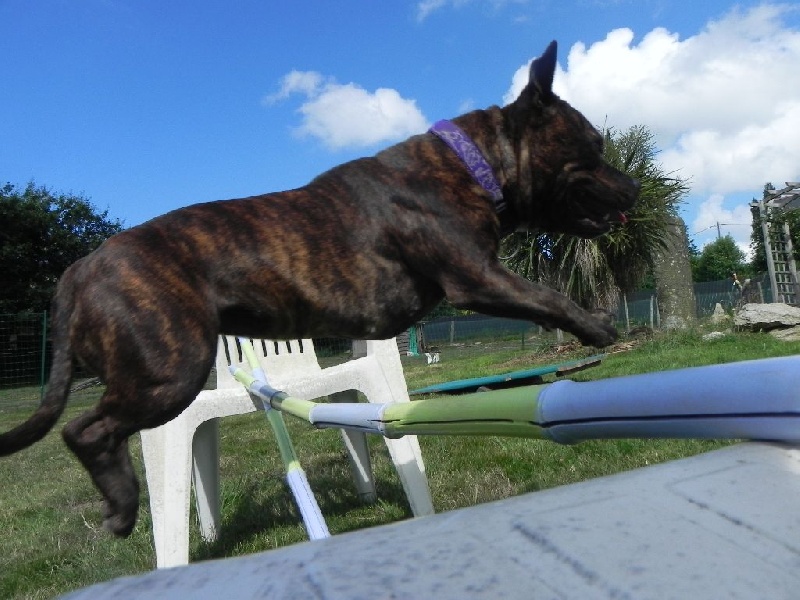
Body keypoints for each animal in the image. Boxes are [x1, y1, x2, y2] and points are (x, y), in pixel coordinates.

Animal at [0, 43, 636, 540]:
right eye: (595, 147)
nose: (631, 184)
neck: (472, 162)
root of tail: (79, 270)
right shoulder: (477, 277)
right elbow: (549, 296)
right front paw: (598, 327)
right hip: (170, 372)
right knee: (86, 430)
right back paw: (123, 503)